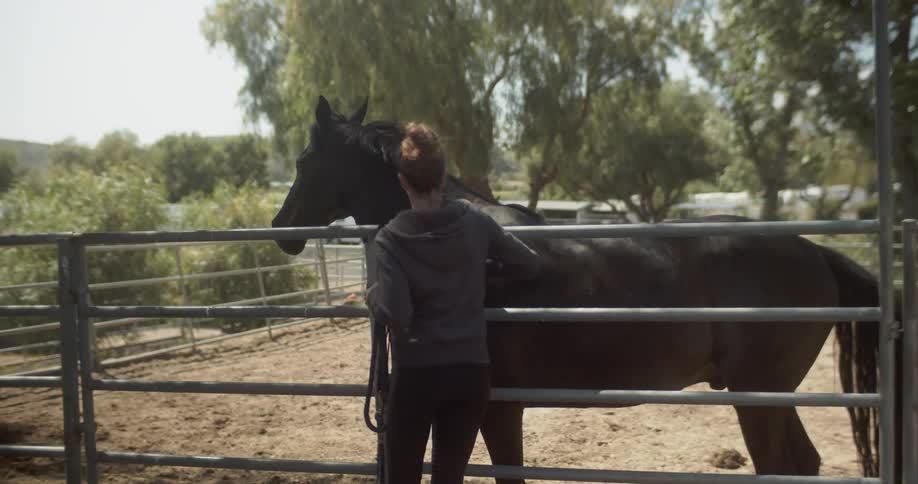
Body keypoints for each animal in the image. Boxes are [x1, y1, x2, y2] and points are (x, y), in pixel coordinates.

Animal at [271, 96, 885, 483]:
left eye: (304, 159)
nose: (280, 230)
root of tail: (814, 251)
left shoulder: (495, 408)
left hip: (758, 395)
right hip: (771, 394)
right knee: (804, 463)